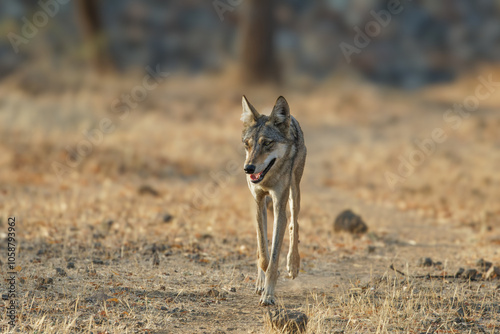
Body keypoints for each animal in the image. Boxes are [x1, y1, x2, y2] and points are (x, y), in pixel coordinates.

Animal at [241, 95, 306, 306]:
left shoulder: (279, 206)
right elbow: (263, 252)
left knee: (295, 223)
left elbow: (275, 254)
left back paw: (293, 264)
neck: (268, 179)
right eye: (247, 144)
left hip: (294, 192)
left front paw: (269, 294)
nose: (248, 169)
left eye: (267, 143)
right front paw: (263, 284)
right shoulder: (258, 202)